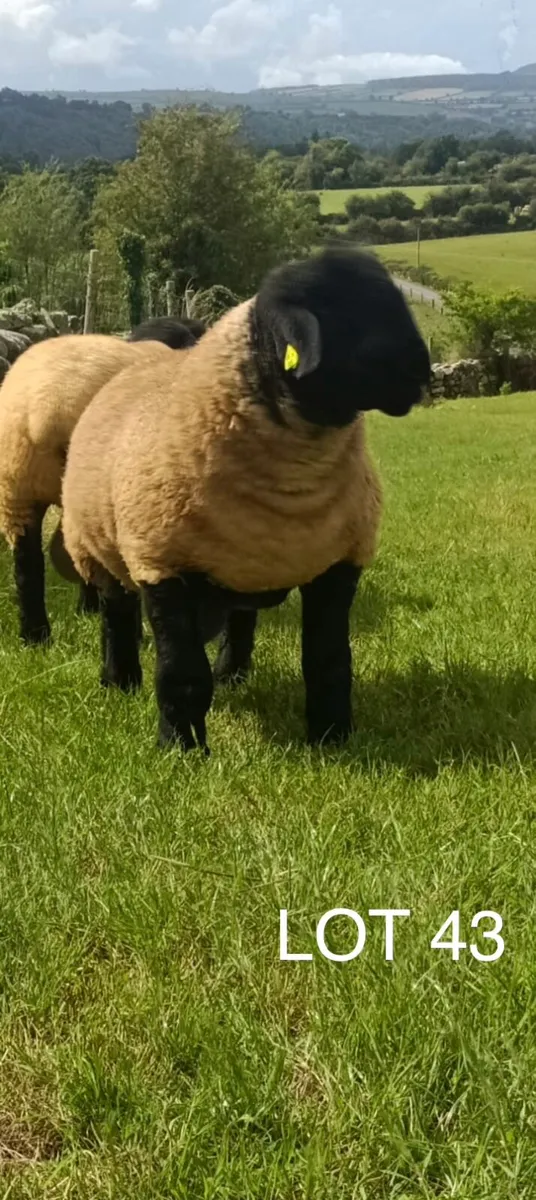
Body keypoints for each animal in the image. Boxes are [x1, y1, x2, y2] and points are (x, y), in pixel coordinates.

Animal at [62, 247, 431, 754]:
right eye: (341, 309)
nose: (424, 370)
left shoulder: (338, 564)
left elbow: (329, 660)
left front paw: (332, 738)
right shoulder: (163, 565)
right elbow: (181, 674)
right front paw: (181, 750)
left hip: (242, 563)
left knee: (240, 621)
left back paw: (232, 674)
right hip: (100, 549)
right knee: (116, 617)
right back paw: (120, 681)